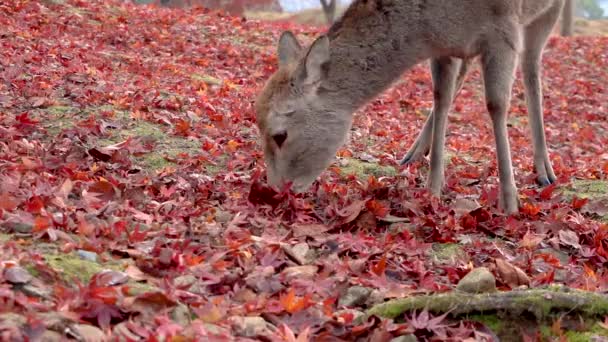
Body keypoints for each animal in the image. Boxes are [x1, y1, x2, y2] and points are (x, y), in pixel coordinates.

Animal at [254, 0, 564, 214]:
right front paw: (433, 190)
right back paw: (413, 154)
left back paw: (544, 170)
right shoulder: (444, 46)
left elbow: (496, 105)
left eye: (280, 135)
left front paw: (509, 202)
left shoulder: (504, 28)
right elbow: (441, 97)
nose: (273, 191)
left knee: (532, 70)